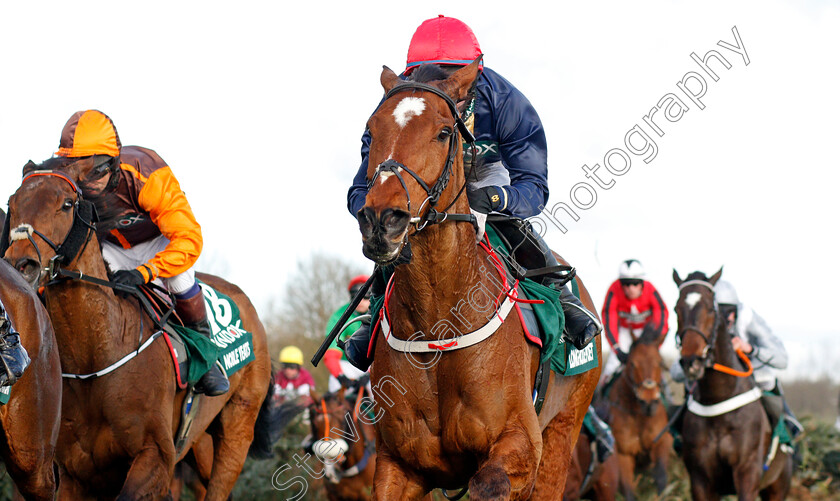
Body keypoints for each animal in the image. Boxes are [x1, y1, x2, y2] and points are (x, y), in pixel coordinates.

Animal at [2, 158, 270, 498]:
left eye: (66, 204)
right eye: (12, 204)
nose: (21, 265)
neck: (97, 355)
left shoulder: (156, 455)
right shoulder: (74, 474)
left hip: (238, 425)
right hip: (200, 445)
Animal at [358, 57, 600, 496]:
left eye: (443, 133)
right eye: (371, 130)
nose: (382, 221)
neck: (438, 320)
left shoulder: (522, 444)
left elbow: (489, 483)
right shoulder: (398, 462)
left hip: (565, 429)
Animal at [600, 322, 672, 498]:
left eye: (660, 362)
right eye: (632, 363)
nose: (648, 402)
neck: (640, 416)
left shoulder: (662, 440)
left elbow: (661, 476)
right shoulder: (623, 453)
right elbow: (628, 490)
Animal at [672, 270, 792, 500]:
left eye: (711, 309)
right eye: (676, 309)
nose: (691, 361)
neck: (717, 401)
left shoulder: (747, 473)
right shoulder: (701, 479)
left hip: (777, 485)